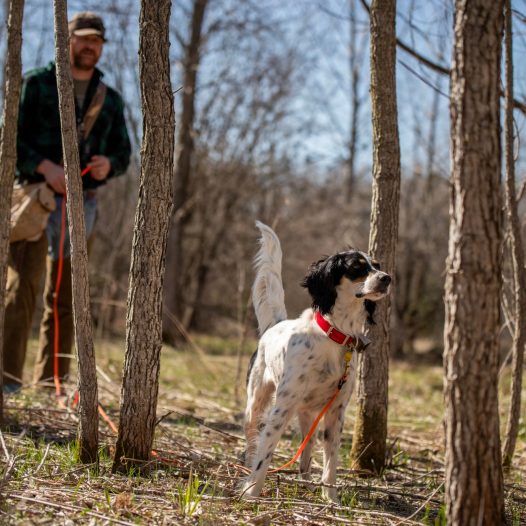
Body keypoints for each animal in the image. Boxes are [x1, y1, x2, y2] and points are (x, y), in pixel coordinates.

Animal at [243, 221, 392, 502]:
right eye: (357, 267)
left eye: (377, 265)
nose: (387, 278)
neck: (336, 335)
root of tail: (275, 324)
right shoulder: (282, 407)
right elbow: (265, 451)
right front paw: (252, 491)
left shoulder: (336, 411)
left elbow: (330, 460)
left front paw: (331, 499)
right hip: (256, 402)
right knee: (252, 439)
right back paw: (247, 469)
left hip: (308, 413)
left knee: (307, 449)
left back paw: (306, 481)